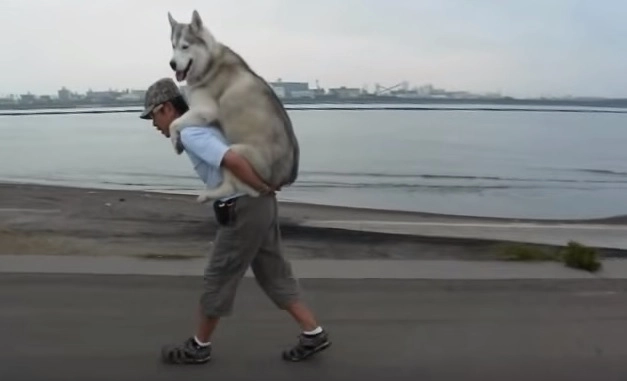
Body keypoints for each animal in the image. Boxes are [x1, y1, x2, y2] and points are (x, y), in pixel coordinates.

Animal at [167, 10, 300, 202]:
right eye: (173, 46)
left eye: (185, 46)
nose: (172, 64)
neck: (208, 63)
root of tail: (285, 178)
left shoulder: (206, 110)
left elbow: (174, 122)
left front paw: (175, 141)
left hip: (236, 151)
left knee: (238, 188)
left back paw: (209, 194)